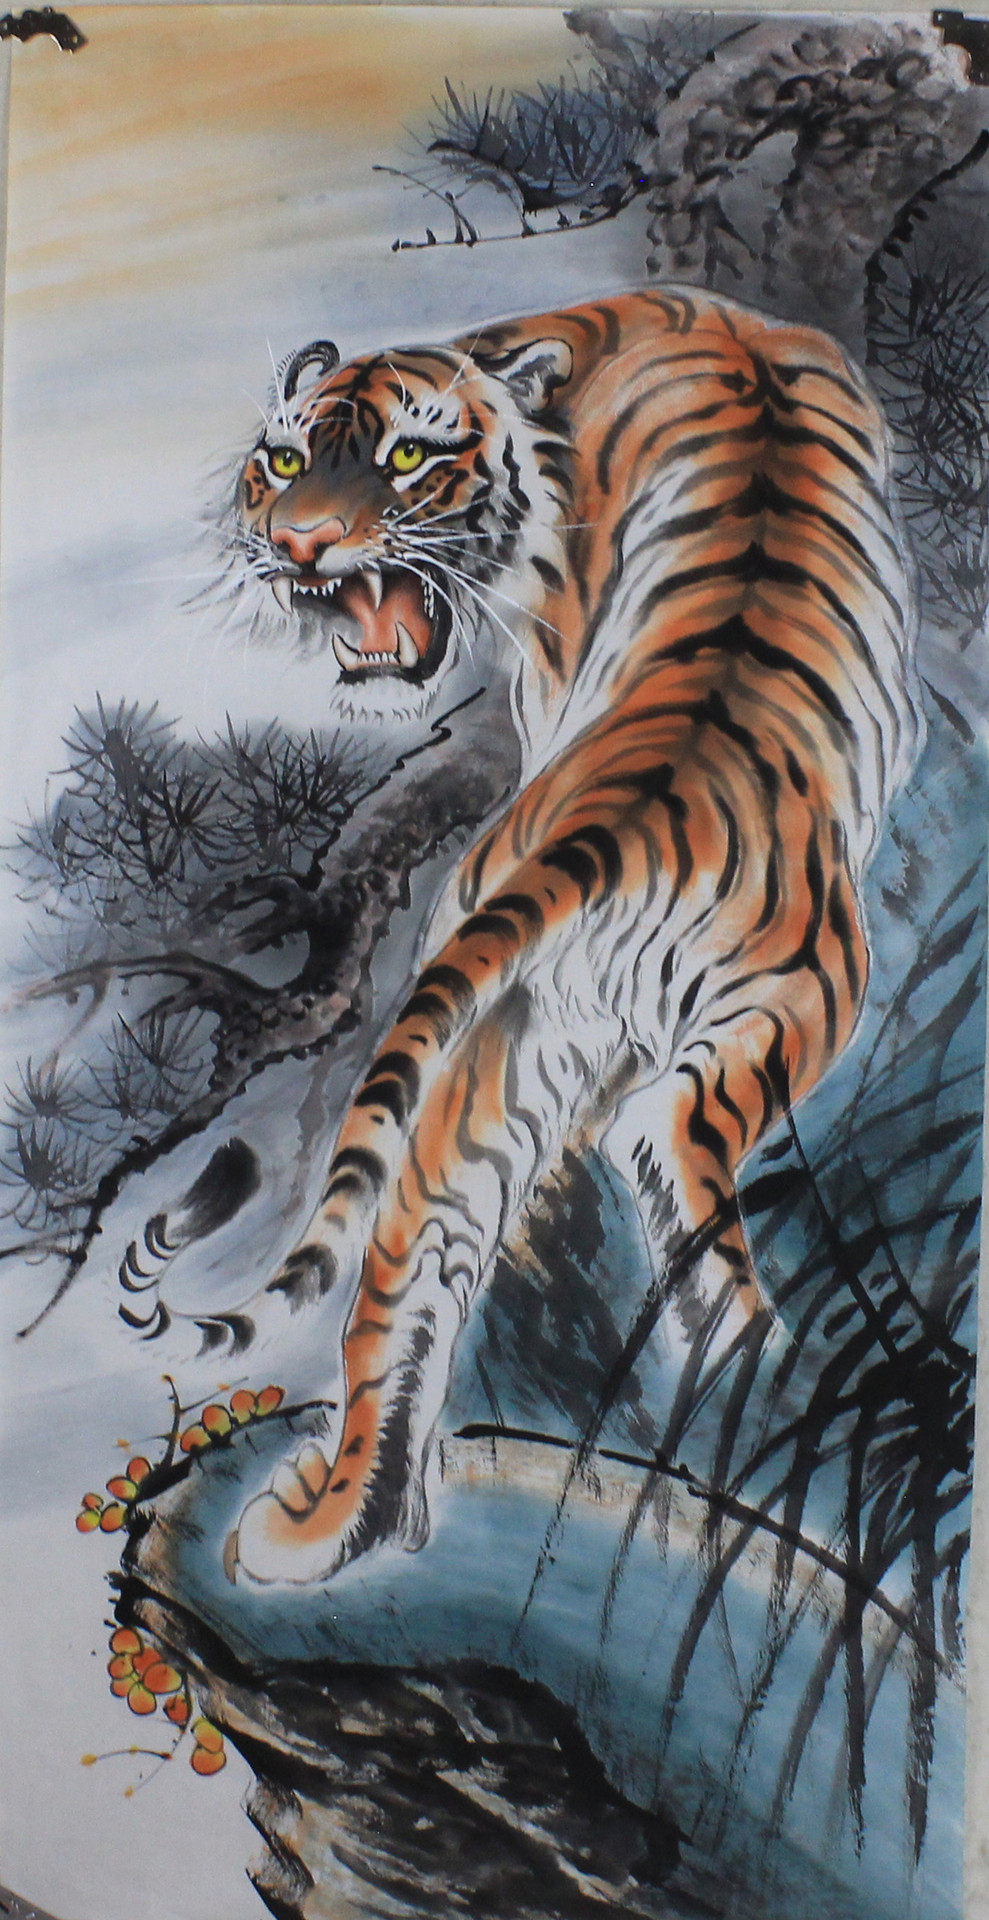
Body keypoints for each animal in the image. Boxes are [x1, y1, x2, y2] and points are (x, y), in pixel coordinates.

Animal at [224, 287, 918, 1585]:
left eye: (406, 459)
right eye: (284, 462)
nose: (298, 546)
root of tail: (627, 811)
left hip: (507, 1034)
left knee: (414, 1257)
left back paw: (338, 1528)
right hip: (789, 1002)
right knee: (671, 1161)